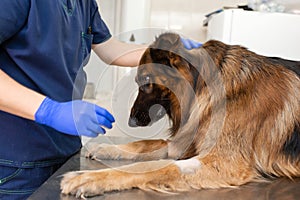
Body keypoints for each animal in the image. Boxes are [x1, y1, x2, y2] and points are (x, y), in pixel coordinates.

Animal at [60, 32, 300, 198]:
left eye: (145, 81)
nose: (131, 120)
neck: (203, 85)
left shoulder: (223, 164)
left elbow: (151, 166)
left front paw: (89, 177)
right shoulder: (183, 143)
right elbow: (145, 144)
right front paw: (106, 148)